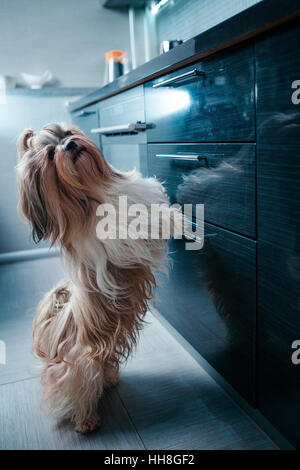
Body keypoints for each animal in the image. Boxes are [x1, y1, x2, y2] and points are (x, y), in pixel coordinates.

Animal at [17, 122, 183, 434]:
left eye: (67, 133)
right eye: (50, 155)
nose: (70, 145)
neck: (92, 190)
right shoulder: (116, 241)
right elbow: (138, 220)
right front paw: (171, 217)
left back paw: (110, 380)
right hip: (81, 364)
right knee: (75, 389)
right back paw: (86, 421)